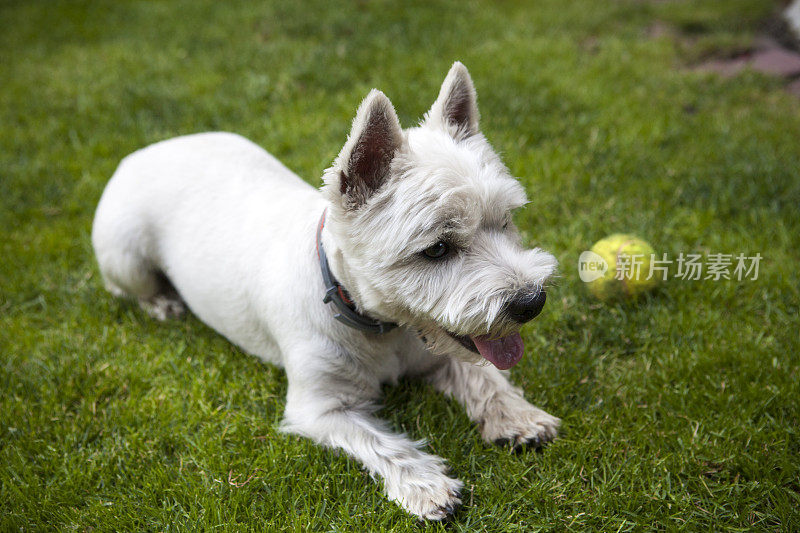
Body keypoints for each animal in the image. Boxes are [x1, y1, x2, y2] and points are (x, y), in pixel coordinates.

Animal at [92, 62, 556, 520]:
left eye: (505, 220)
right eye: (437, 248)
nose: (531, 302)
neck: (378, 325)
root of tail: (142, 152)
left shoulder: (437, 354)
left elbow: (485, 377)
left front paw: (521, 418)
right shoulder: (319, 408)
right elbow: (380, 442)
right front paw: (428, 487)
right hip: (126, 256)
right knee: (128, 287)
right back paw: (164, 303)